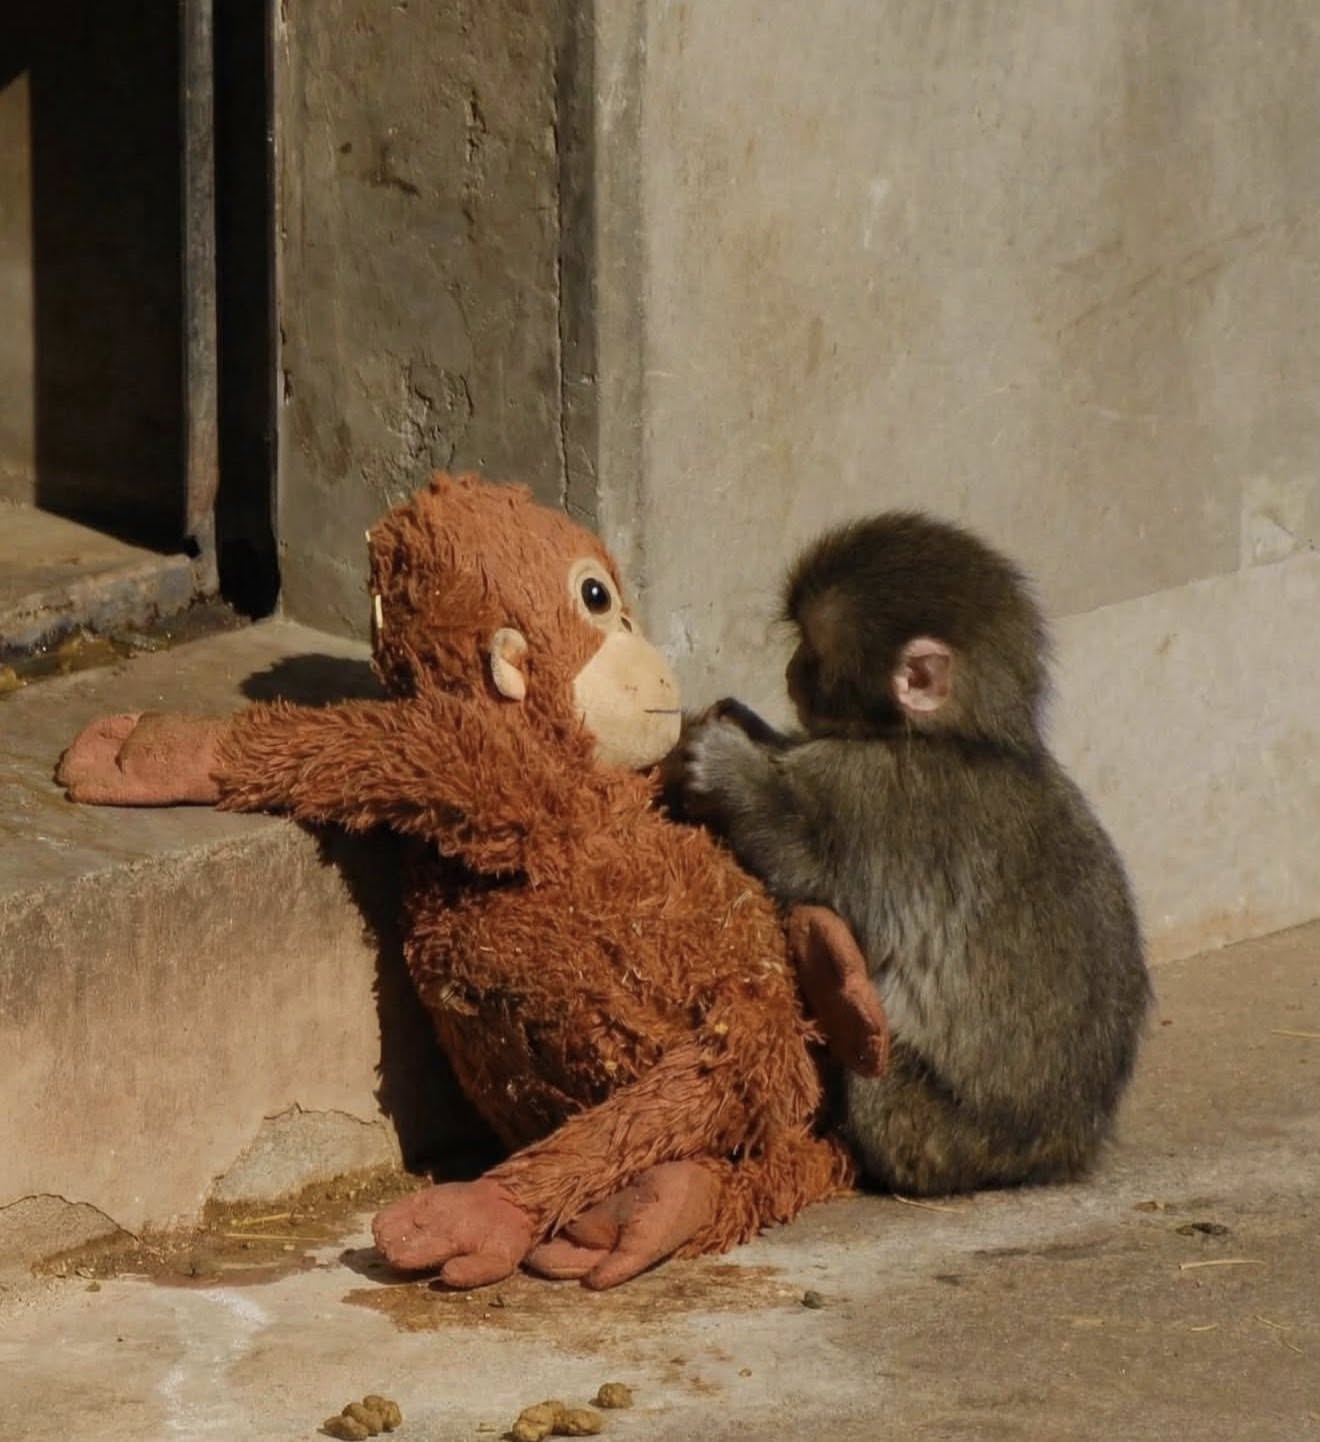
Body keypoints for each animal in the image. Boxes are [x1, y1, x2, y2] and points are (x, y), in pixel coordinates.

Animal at [673, 511, 1152, 1196]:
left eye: (812, 652)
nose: (790, 671)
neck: (956, 738)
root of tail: (1060, 1150)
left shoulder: (878, 797)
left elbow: (809, 867)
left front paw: (726, 765)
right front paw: (751, 727)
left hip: (928, 1132)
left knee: (875, 1074)